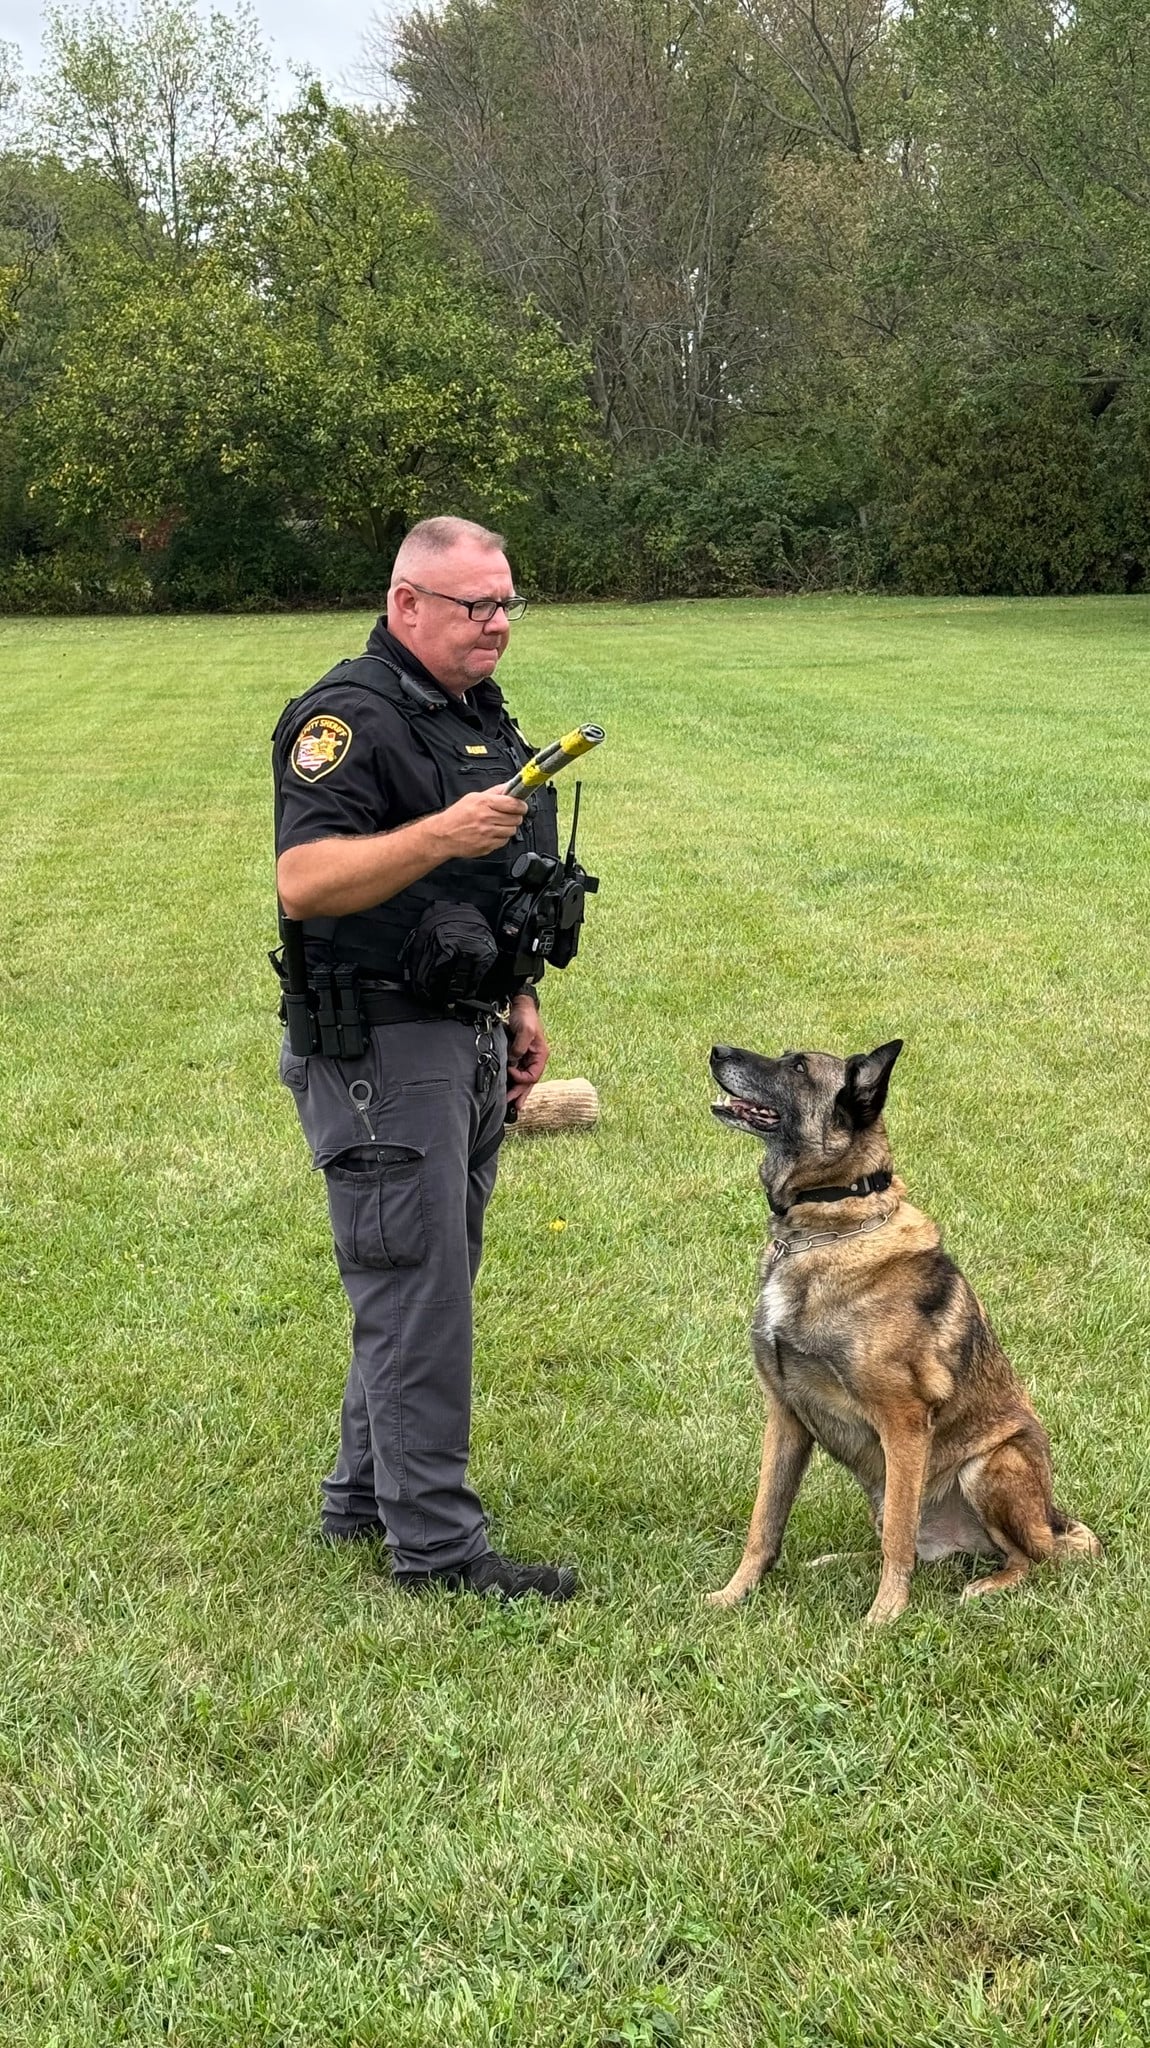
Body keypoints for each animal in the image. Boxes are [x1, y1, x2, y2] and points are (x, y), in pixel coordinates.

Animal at [708, 1038, 1101, 1625]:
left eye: (797, 1067)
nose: (716, 1050)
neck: (831, 1220)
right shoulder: (785, 1417)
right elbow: (764, 1522)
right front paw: (734, 1594)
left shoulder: (903, 1421)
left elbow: (898, 1535)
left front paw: (883, 1618)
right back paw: (840, 1561)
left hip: (991, 1463)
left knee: (1027, 1557)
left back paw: (990, 1585)